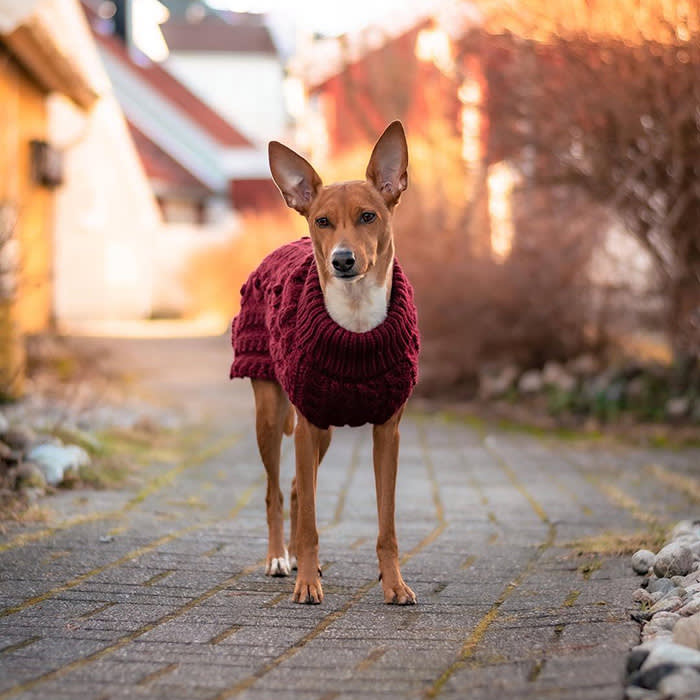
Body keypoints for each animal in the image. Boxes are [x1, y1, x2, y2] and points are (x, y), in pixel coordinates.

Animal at [235, 120, 418, 600]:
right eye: (323, 221)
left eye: (368, 216)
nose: (342, 260)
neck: (354, 322)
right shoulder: (306, 423)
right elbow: (309, 521)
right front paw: (306, 586)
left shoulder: (387, 432)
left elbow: (387, 526)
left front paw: (394, 584)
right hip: (273, 416)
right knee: (277, 492)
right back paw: (281, 558)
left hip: (322, 434)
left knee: (300, 489)